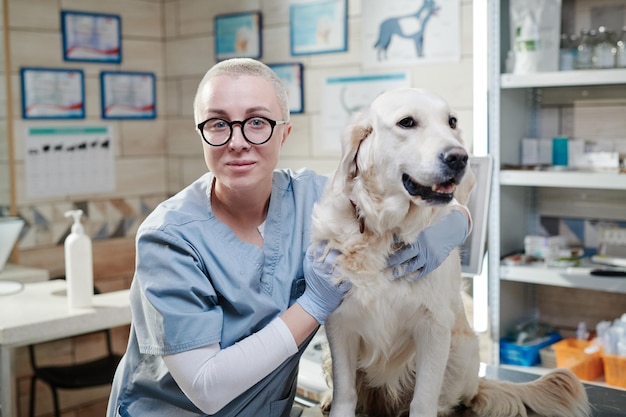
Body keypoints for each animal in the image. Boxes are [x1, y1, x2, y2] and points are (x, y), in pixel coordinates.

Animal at [310, 88, 588, 416]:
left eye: (451, 121)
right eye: (406, 122)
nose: (459, 158)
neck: (387, 232)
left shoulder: (434, 326)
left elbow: (423, 399)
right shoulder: (339, 323)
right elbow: (346, 392)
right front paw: (337, 403)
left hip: (461, 351)